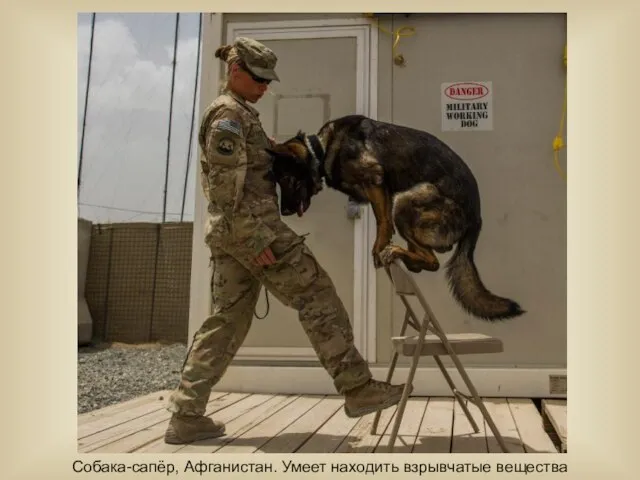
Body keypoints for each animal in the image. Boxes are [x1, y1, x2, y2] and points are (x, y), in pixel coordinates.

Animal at [264, 114, 524, 320]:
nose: (284, 212)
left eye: (286, 178)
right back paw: (404, 256)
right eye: (278, 179)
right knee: (424, 262)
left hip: (404, 200)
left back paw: (397, 252)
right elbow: (381, 218)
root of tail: (476, 218)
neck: (322, 148)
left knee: (431, 261)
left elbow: (382, 221)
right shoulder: (379, 191)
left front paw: (379, 246)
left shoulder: (375, 180)